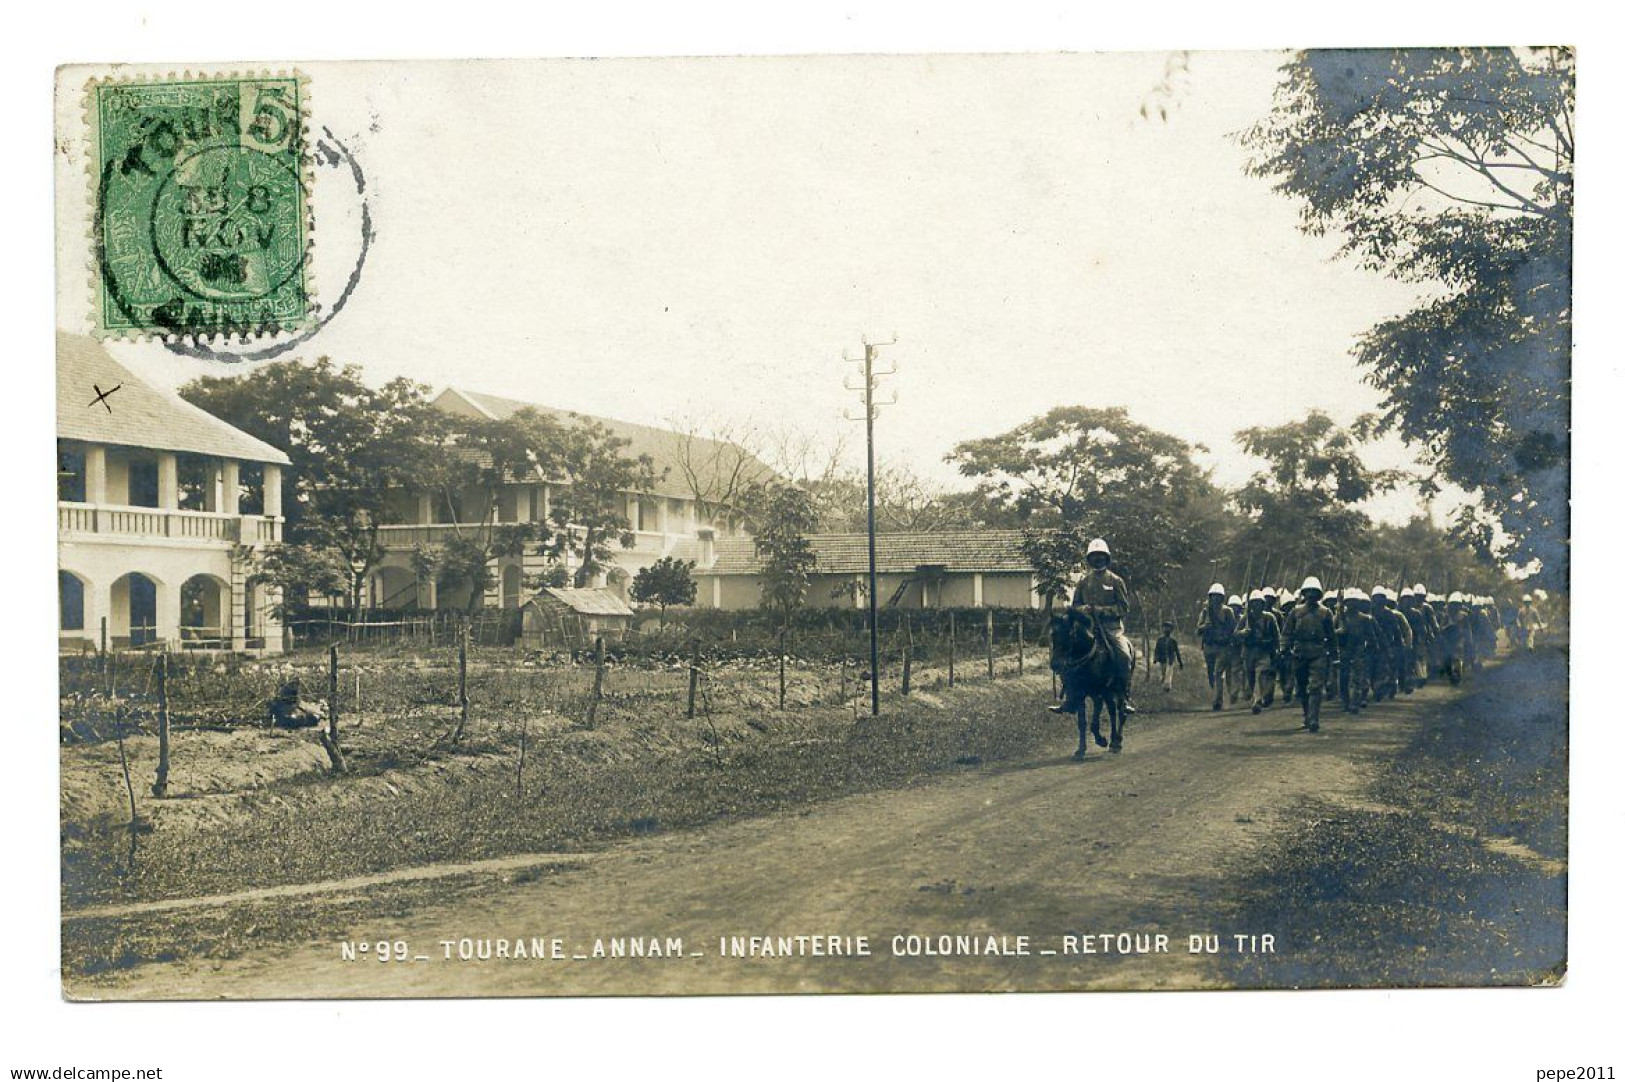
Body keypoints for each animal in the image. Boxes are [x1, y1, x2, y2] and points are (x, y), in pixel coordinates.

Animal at [1053, 607, 1131, 757]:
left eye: (1070, 634)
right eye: (1053, 634)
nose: (1054, 664)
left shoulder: (1098, 693)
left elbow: (1095, 720)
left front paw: (1101, 740)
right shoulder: (1080, 694)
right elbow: (1082, 722)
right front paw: (1081, 750)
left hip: (1119, 690)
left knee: (1120, 712)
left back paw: (1117, 743)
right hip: (1108, 694)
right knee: (1112, 712)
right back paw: (1114, 741)